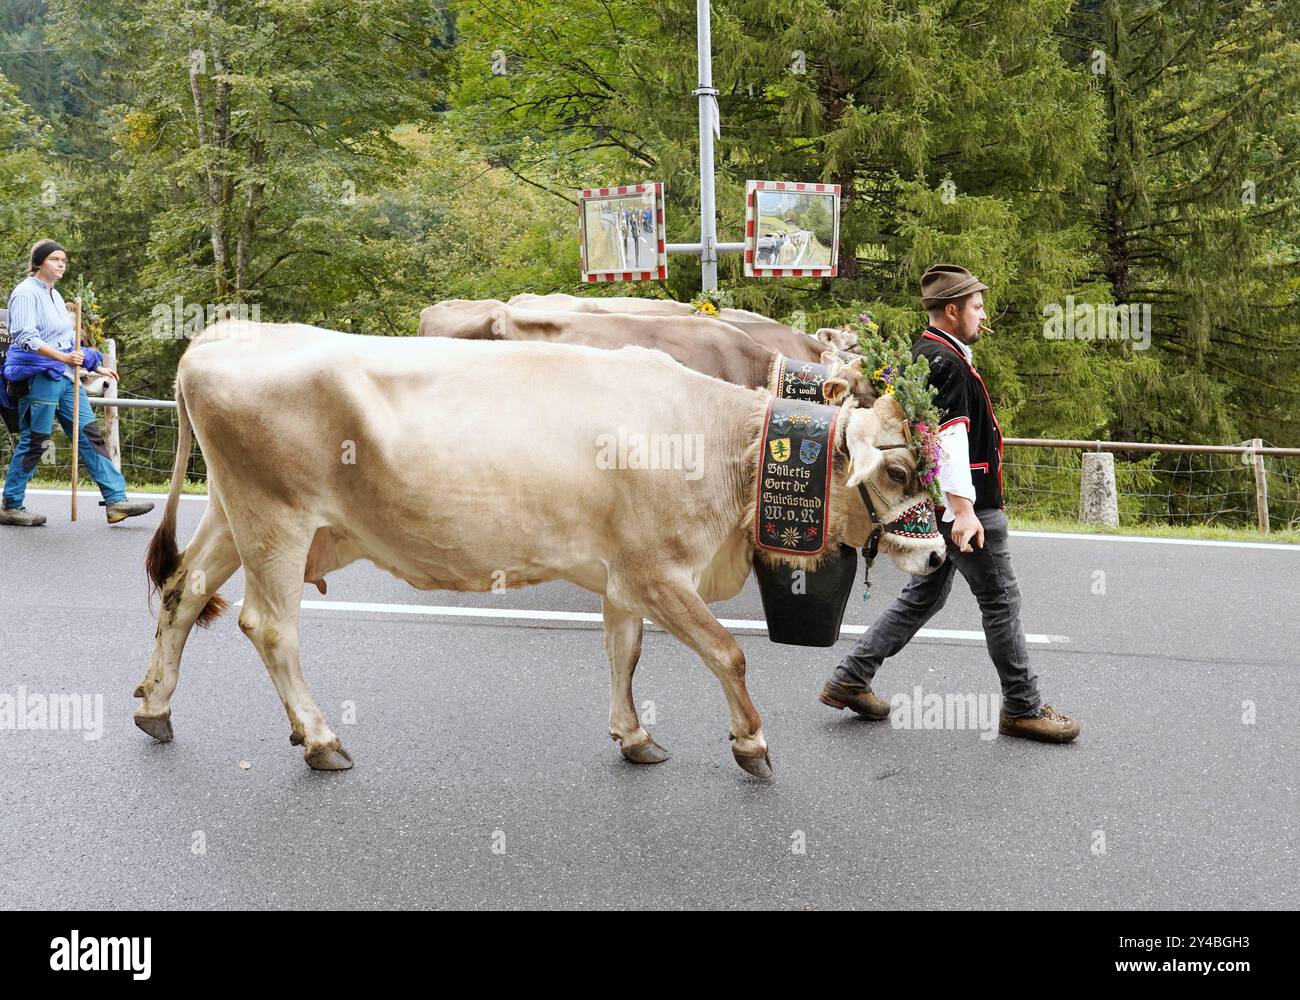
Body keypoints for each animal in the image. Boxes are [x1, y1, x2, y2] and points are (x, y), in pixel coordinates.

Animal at [134, 322, 945, 779]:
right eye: (898, 472)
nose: (940, 555)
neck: (722, 446)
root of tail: (221, 332)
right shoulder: (658, 571)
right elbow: (728, 653)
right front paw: (750, 745)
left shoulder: (623, 575)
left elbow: (624, 653)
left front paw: (633, 734)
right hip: (275, 517)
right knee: (268, 625)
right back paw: (320, 739)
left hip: (232, 514)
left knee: (181, 591)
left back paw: (156, 707)